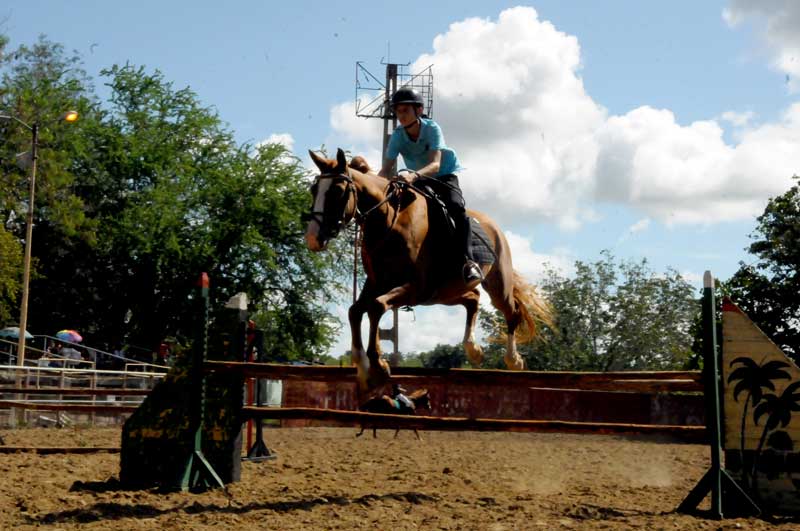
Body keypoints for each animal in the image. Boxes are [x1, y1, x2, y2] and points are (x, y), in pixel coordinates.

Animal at [304, 150, 552, 394]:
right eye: (314, 190)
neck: (389, 221)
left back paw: (513, 360)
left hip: (496, 284)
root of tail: (493, 226)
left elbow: (376, 307)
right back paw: (473, 349)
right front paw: (364, 370)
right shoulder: (377, 284)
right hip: (445, 293)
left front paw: (378, 364)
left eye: (337, 191)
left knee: (512, 311)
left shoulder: (415, 288)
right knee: (473, 299)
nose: (313, 238)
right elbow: (355, 311)